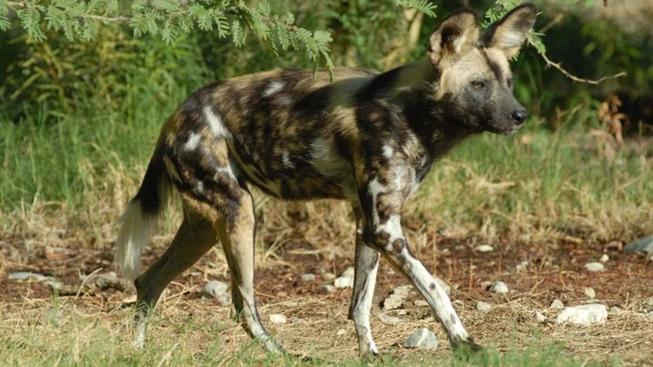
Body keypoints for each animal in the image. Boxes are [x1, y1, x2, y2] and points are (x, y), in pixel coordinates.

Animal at [116, 4, 536, 358]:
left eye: (508, 81)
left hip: (204, 224)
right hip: (239, 213)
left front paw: (370, 355)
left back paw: (137, 351)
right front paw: (465, 343)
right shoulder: (385, 230)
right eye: (479, 85)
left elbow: (360, 304)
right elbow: (436, 290)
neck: (412, 113)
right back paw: (282, 355)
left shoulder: (368, 227)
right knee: (242, 305)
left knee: (149, 282)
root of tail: (175, 117)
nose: (521, 115)